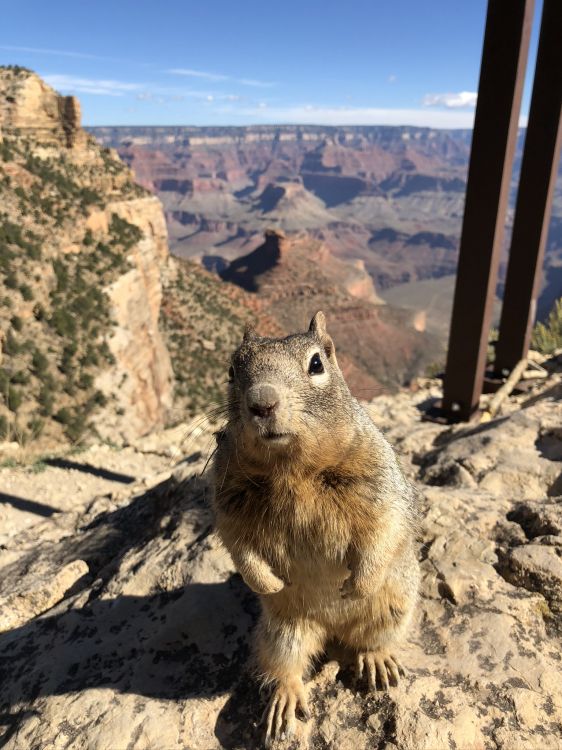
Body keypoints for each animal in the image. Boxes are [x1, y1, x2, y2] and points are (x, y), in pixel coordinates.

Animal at [212, 311, 420, 746]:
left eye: (316, 364)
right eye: (231, 371)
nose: (261, 402)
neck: (293, 470)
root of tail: (332, 629)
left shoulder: (378, 479)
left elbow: (384, 525)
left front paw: (358, 583)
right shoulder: (227, 498)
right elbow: (238, 545)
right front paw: (268, 582)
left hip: (394, 608)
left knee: (371, 640)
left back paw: (377, 661)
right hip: (281, 632)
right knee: (284, 666)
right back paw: (285, 700)